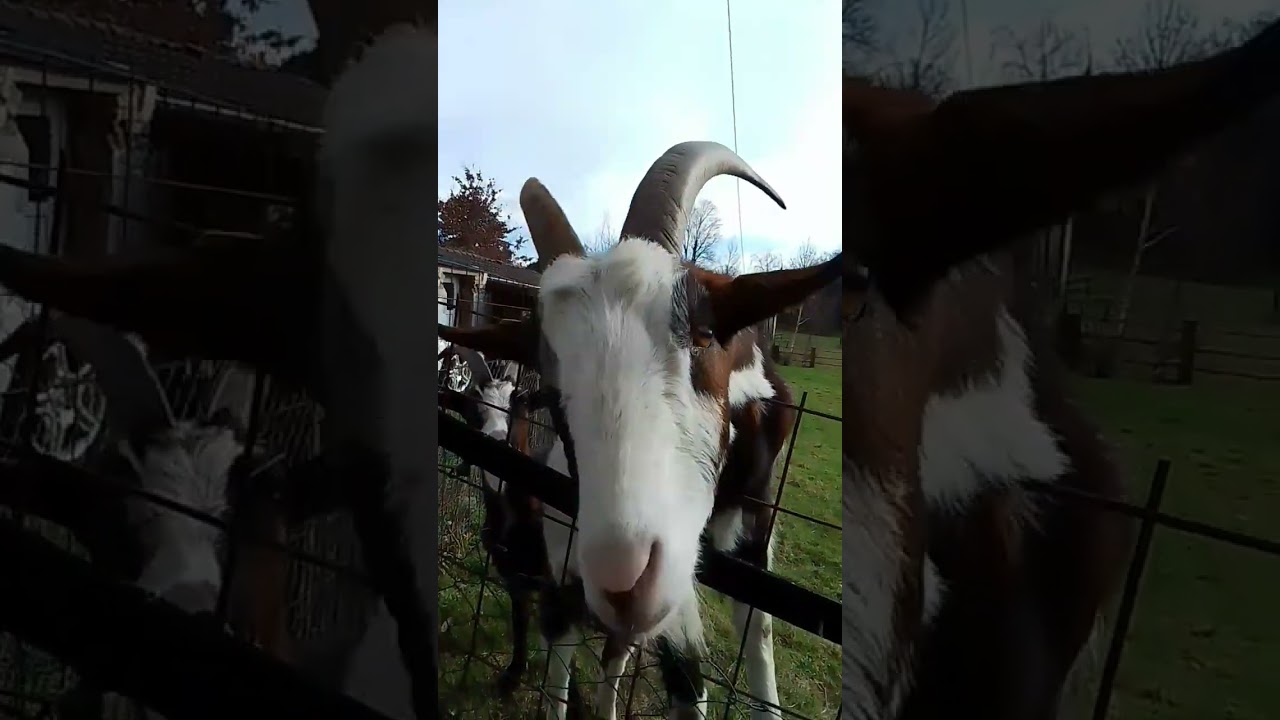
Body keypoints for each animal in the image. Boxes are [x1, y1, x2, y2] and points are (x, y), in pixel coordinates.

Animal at [442, 141, 841, 720]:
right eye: (552, 386)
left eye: (704, 334)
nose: (622, 580)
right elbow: (675, 675)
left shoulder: (748, 536)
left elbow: (749, 645)